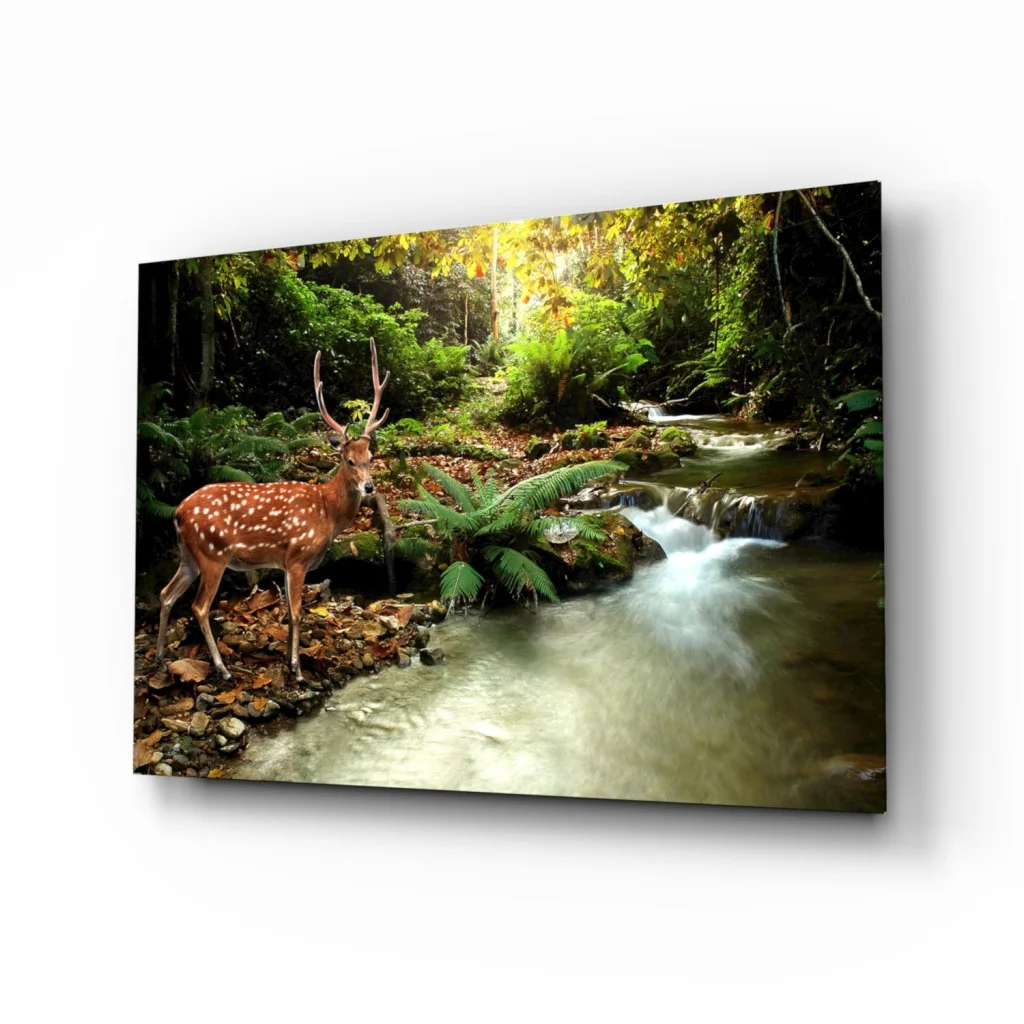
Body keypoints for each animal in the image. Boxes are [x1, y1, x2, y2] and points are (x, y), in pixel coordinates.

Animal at [155, 339, 390, 683]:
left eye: (371, 457)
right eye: (349, 460)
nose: (369, 487)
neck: (327, 512)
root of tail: (177, 514)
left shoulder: (284, 562)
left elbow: (287, 612)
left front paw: (288, 663)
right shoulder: (298, 557)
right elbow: (296, 612)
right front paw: (298, 671)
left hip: (189, 556)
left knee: (166, 593)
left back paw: (160, 658)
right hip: (213, 554)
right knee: (198, 607)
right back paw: (223, 670)